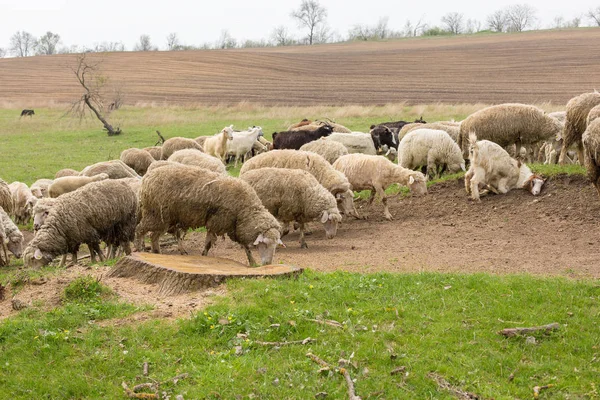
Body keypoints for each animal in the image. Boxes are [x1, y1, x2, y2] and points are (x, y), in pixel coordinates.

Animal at [136, 162, 284, 266]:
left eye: (275, 246)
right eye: (265, 244)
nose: (268, 263)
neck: (244, 210)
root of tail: (146, 178)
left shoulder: (234, 227)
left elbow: (246, 247)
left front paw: (252, 262)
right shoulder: (217, 222)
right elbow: (208, 243)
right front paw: (204, 256)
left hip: (164, 218)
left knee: (153, 236)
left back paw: (157, 253)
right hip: (155, 214)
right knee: (140, 230)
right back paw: (139, 249)